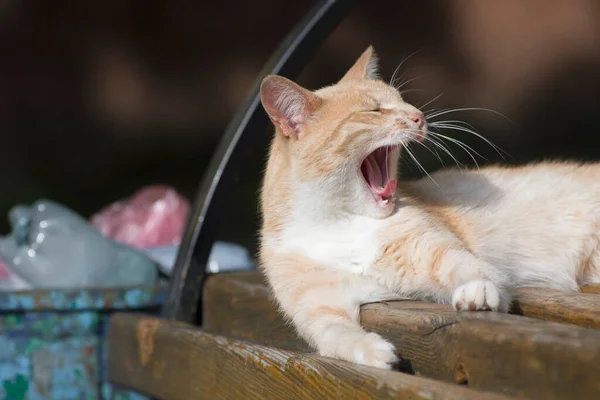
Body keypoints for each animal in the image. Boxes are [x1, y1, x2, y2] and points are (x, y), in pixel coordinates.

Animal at [256, 46, 600, 368]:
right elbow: (334, 335)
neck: (340, 223)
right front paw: (374, 353)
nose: (419, 116)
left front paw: (477, 291)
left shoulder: (440, 253)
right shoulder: (318, 309)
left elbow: (466, 267)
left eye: (402, 101)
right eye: (374, 110)